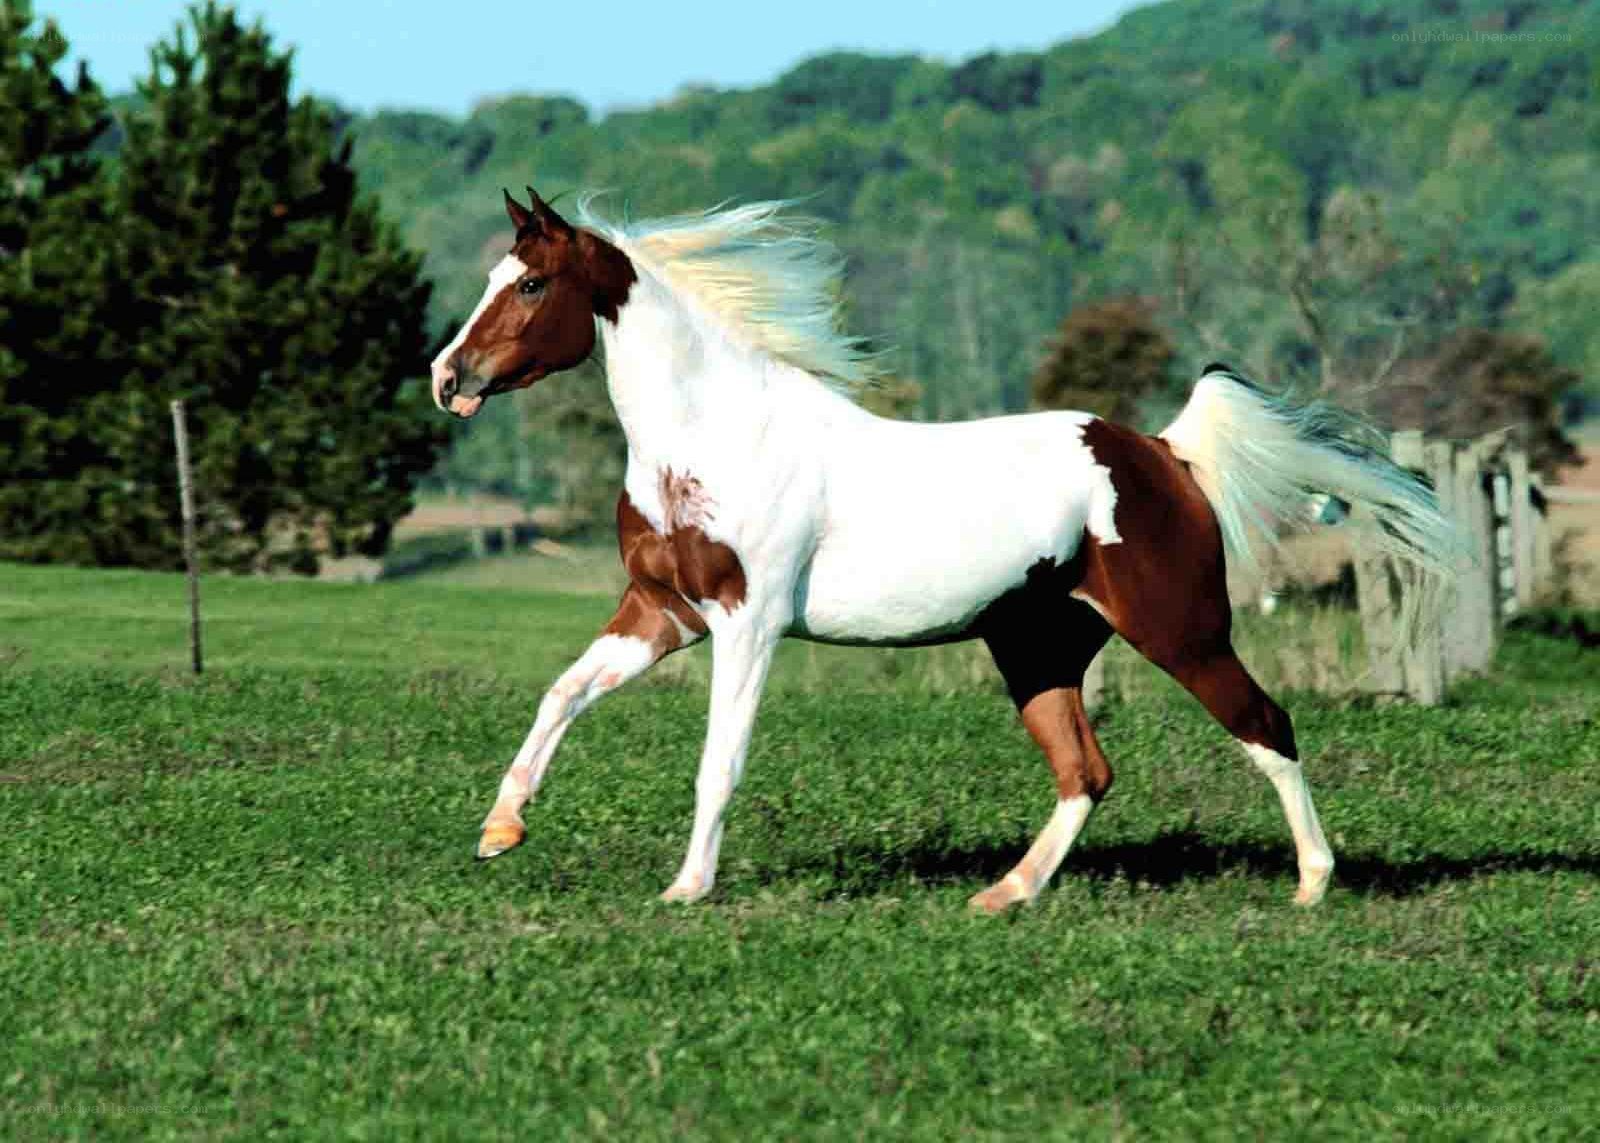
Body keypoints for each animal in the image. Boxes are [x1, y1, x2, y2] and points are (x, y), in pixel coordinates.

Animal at [429, 187, 1456, 912]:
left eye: (529, 283)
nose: (448, 377)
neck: (716, 437)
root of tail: (1166, 453)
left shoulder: (747, 622)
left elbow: (719, 758)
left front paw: (687, 886)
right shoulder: (662, 611)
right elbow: (562, 692)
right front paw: (499, 830)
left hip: (1183, 631)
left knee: (1266, 726)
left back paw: (1313, 882)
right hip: (1038, 647)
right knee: (1086, 772)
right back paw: (1004, 893)